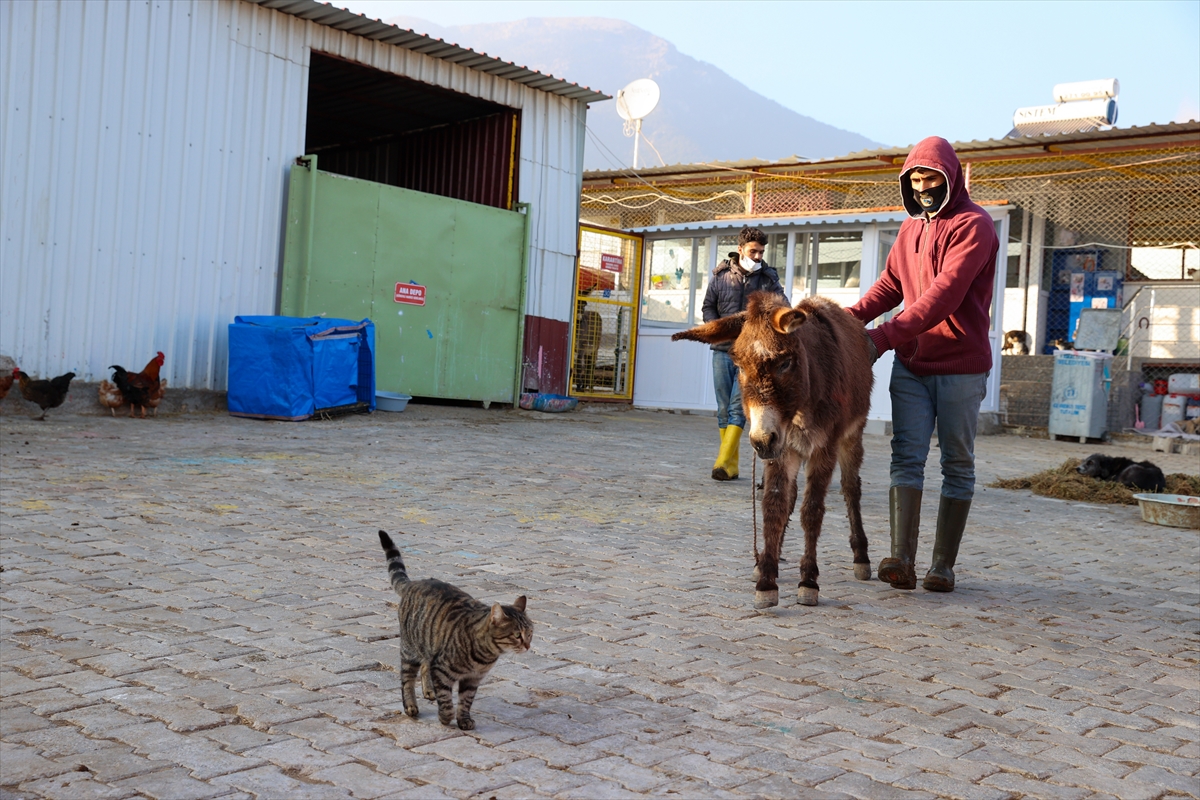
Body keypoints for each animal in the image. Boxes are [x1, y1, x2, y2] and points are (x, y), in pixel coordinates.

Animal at [376, 532, 532, 734]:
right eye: (517, 635)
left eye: (530, 633)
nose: (528, 646)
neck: (485, 655)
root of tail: (415, 583)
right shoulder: (441, 669)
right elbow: (446, 700)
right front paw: (445, 718)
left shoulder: (472, 680)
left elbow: (465, 702)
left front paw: (464, 720)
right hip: (410, 651)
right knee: (407, 679)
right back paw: (410, 705)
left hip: (428, 643)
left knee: (425, 666)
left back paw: (428, 691)